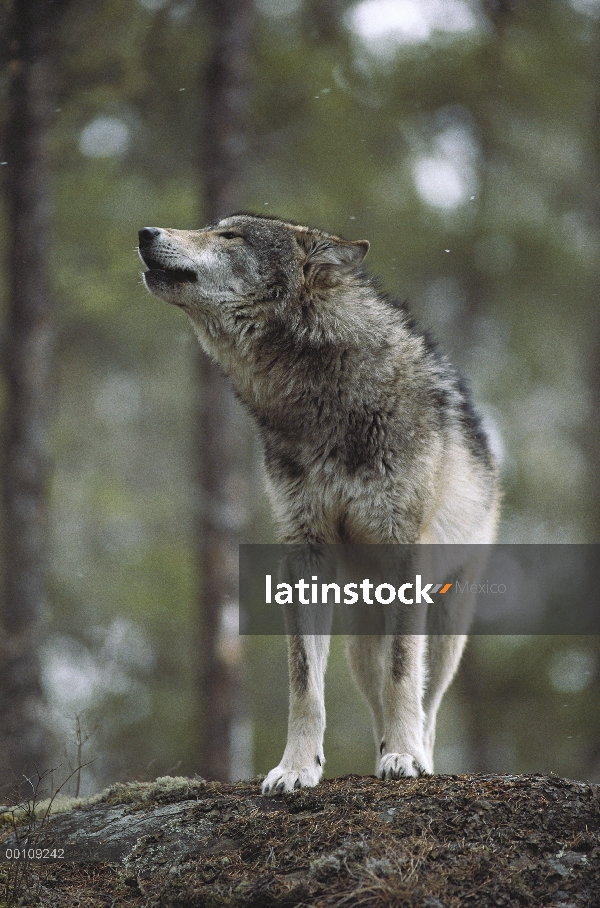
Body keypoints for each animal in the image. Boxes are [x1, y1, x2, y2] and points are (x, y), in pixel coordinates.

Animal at [138, 213, 500, 796]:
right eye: (215, 228)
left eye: (230, 236)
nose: (145, 233)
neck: (319, 397)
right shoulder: (305, 549)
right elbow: (305, 682)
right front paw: (297, 767)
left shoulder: (403, 551)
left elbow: (404, 674)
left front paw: (404, 757)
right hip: (360, 636)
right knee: (374, 691)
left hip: (446, 624)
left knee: (427, 699)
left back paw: (413, 752)